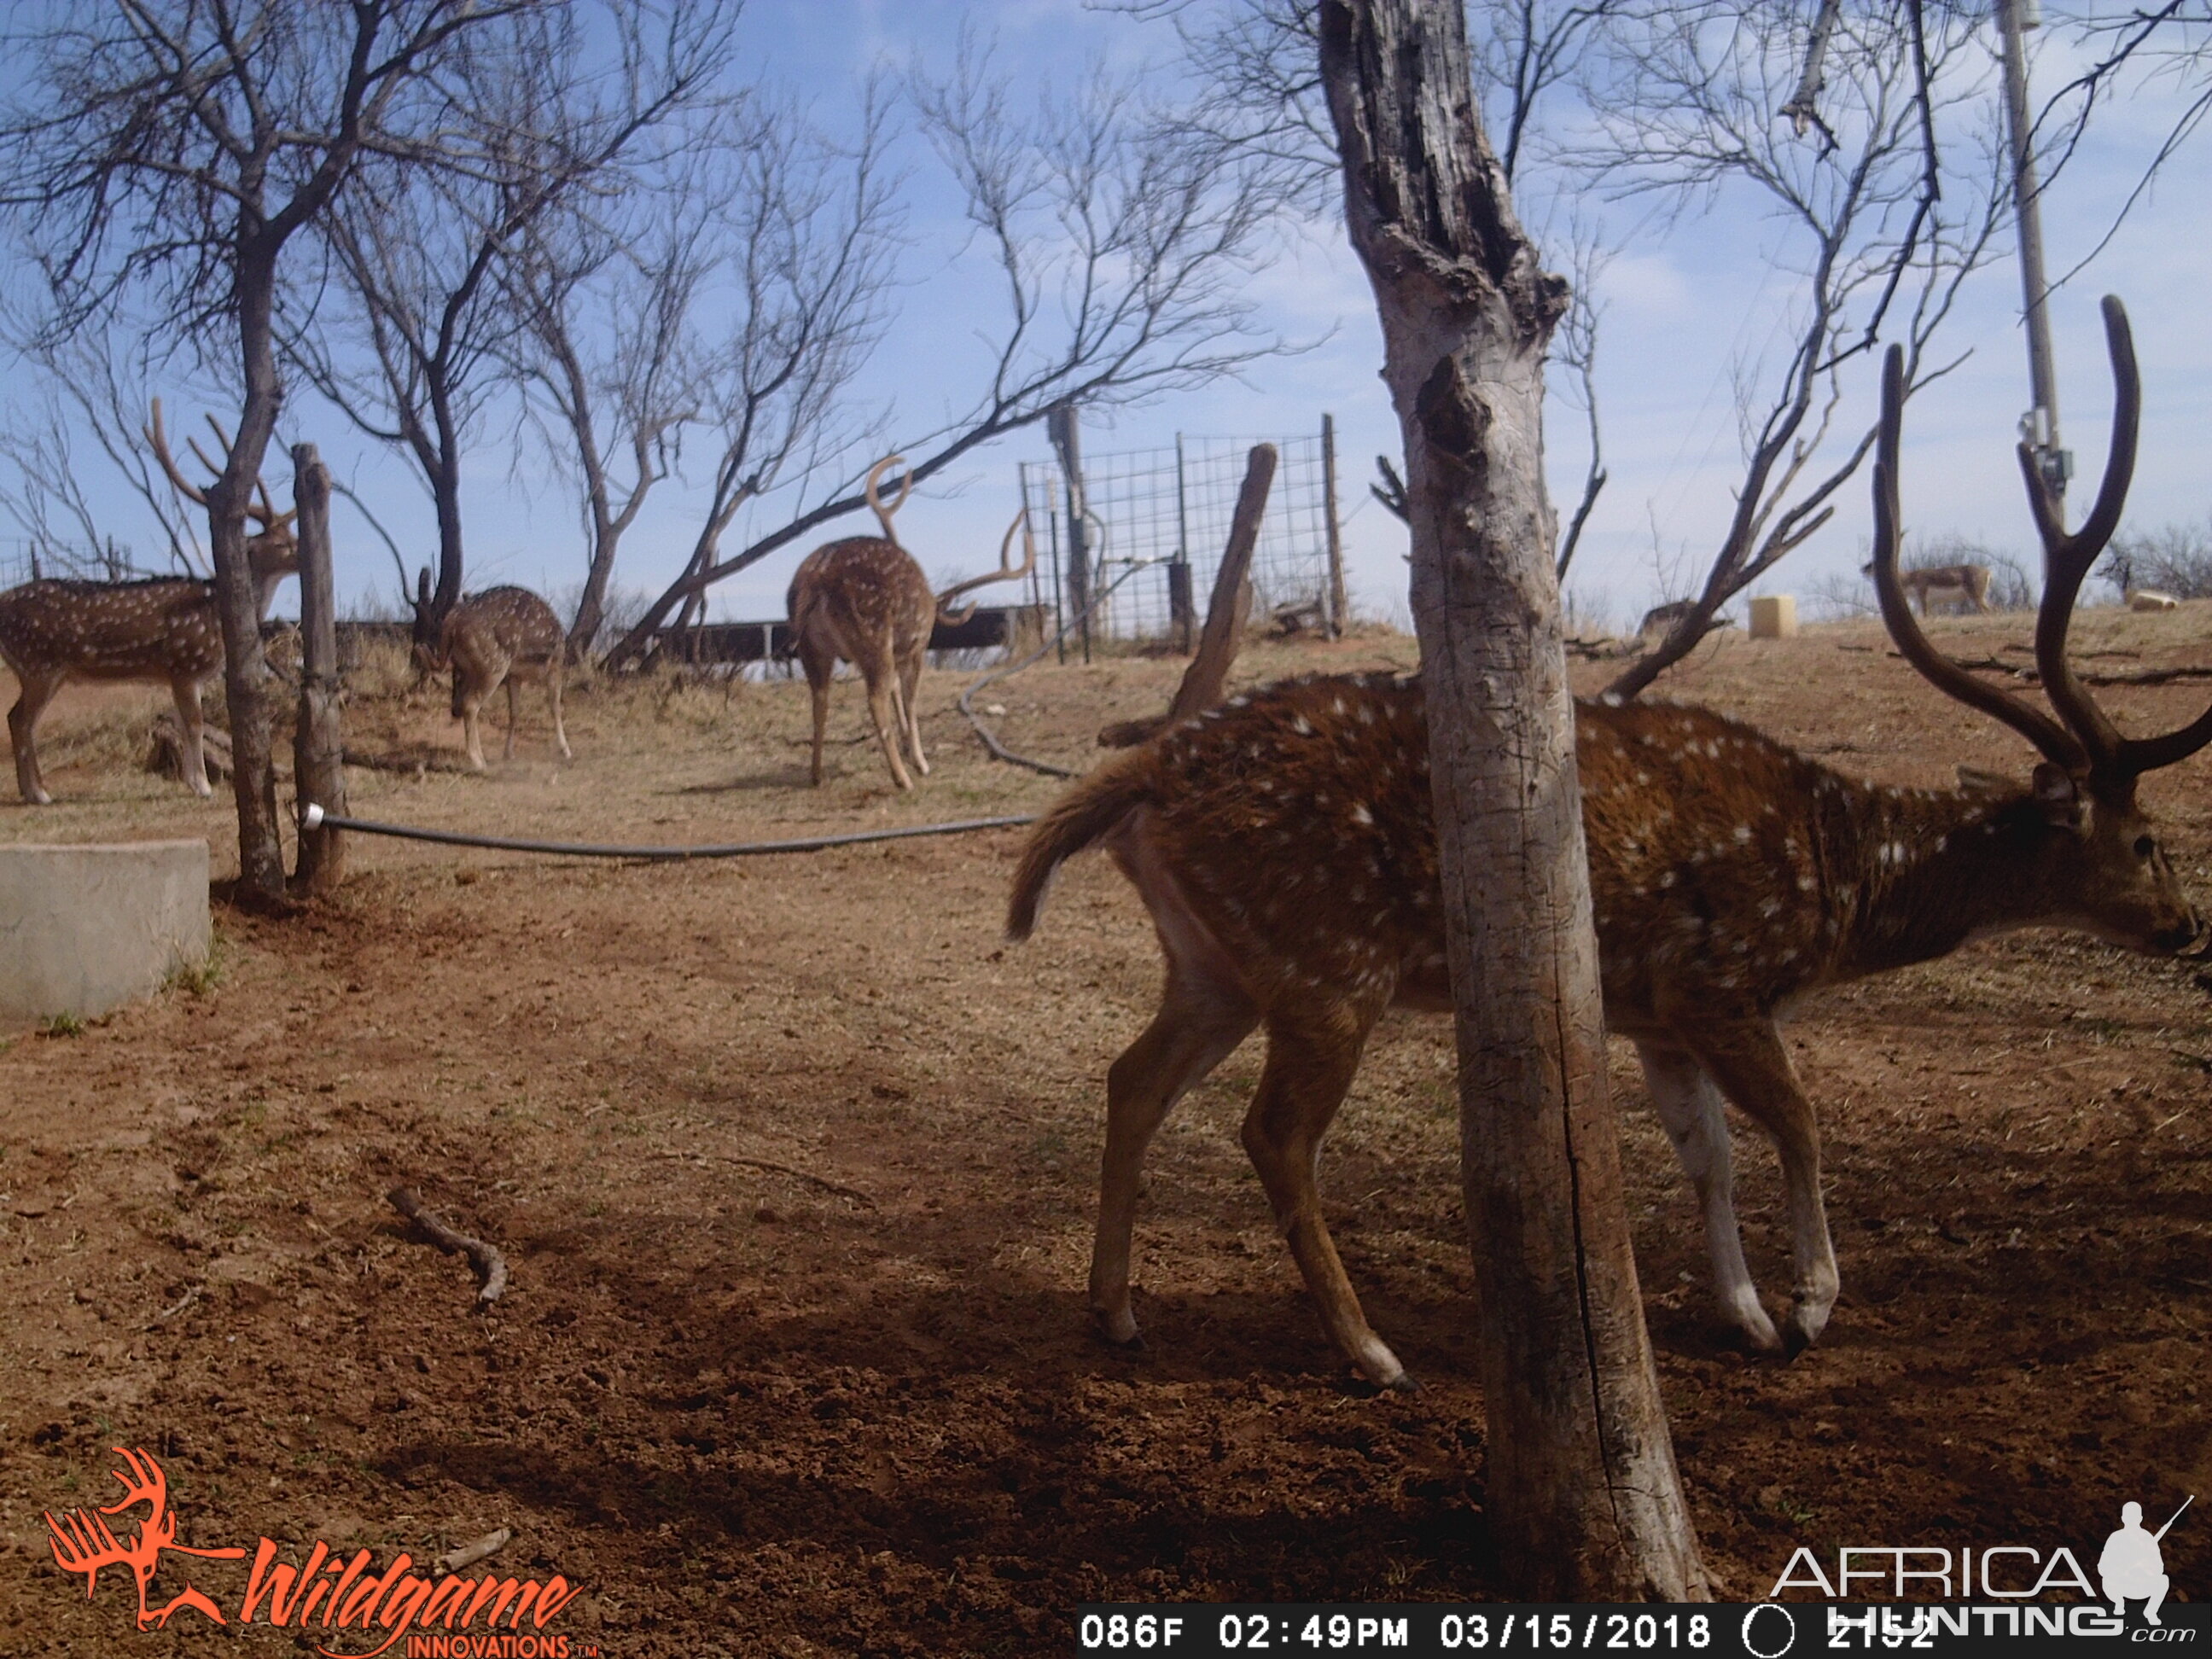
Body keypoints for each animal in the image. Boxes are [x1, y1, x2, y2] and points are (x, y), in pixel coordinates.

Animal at [0, 402, 298, 805]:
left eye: (293, 535)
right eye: (282, 544)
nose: (307, 552)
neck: (214, 614)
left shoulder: (181, 674)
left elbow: (181, 722)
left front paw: (192, 781)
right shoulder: (184, 663)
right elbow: (195, 723)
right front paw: (203, 786)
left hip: (41, 669)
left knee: (18, 718)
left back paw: (33, 789)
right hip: (38, 663)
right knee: (18, 719)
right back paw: (38, 793)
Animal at [787, 455, 1035, 791]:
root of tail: (818, 575)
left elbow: (897, 692)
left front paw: (910, 750)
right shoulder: (917, 644)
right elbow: (910, 699)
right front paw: (920, 761)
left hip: (812, 647)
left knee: (820, 699)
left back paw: (816, 774)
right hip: (872, 632)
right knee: (874, 698)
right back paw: (902, 778)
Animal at [1013, 298, 2203, 1388]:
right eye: (2149, 840)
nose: (2187, 926)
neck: (1842, 879)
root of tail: (1148, 772)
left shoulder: (1656, 1015)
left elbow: (1706, 1157)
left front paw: (1745, 1315)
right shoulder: (1721, 981)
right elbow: (1799, 1120)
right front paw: (1811, 1305)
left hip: (1215, 961)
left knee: (1133, 1079)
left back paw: (1116, 1311)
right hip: (1327, 960)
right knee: (1272, 1133)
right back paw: (1371, 1351)